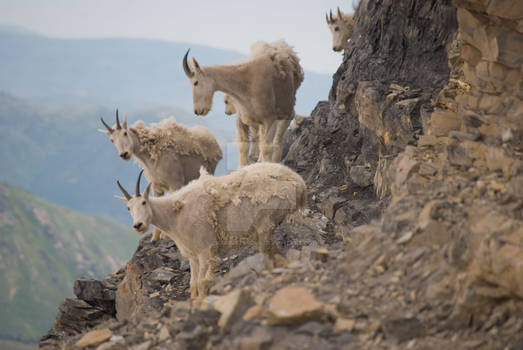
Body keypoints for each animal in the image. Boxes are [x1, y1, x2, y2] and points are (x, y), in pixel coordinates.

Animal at [100, 109, 223, 241]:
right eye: (112, 140)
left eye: (125, 133)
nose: (124, 154)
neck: (150, 157)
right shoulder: (156, 186)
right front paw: (154, 238)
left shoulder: (175, 183)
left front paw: (165, 236)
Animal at [115, 164, 308, 298]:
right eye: (128, 208)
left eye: (144, 202)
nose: (138, 225)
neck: (175, 215)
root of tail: (299, 183)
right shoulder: (193, 254)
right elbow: (193, 284)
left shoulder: (205, 250)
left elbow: (202, 282)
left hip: (265, 224)